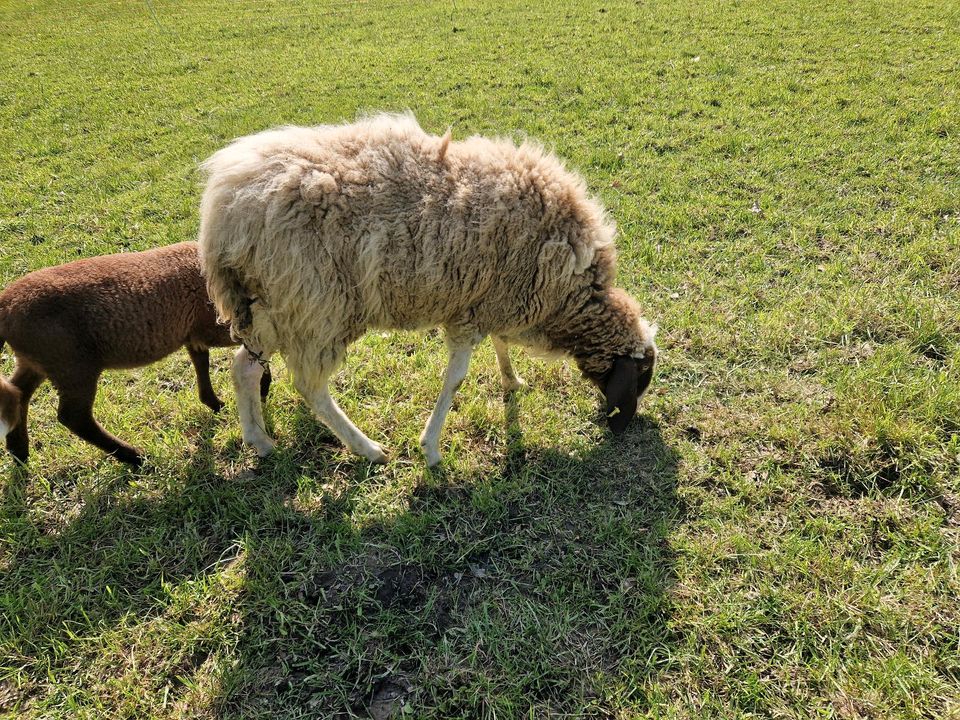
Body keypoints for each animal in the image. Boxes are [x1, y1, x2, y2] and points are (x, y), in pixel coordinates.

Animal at [0, 240, 270, 466]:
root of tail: (6, 306)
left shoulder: (192, 332)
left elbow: (201, 362)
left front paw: (215, 402)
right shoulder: (215, 326)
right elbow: (255, 353)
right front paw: (263, 388)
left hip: (37, 361)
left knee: (18, 393)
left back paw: (19, 451)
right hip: (72, 365)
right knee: (73, 417)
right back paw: (134, 457)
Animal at [199, 112, 656, 466]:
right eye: (642, 375)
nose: (626, 424)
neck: (572, 299)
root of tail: (224, 208)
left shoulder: (488, 299)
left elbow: (500, 344)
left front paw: (512, 381)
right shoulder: (472, 311)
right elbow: (455, 379)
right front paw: (431, 448)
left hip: (274, 306)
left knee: (243, 367)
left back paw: (259, 441)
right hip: (317, 307)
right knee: (310, 387)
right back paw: (367, 449)